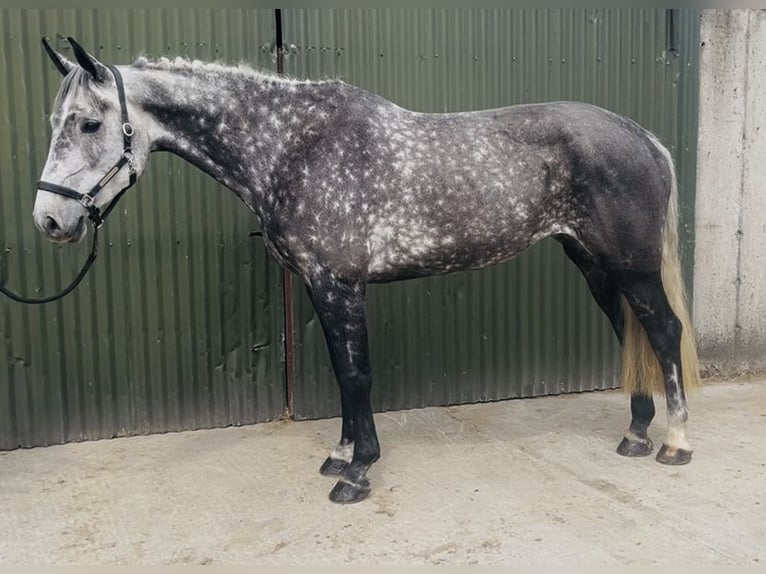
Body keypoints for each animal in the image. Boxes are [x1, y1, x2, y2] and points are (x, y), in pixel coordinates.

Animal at [31, 37, 699, 504]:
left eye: (89, 123)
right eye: (54, 123)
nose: (50, 220)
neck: (293, 147)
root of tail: (641, 136)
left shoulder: (339, 285)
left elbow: (355, 376)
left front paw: (356, 472)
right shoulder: (319, 287)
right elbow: (340, 372)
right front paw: (342, 453)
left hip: (632, 269)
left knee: (664, 332)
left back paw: (675, 443)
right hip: (596, 267)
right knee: (631, 334)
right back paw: (636, 434)